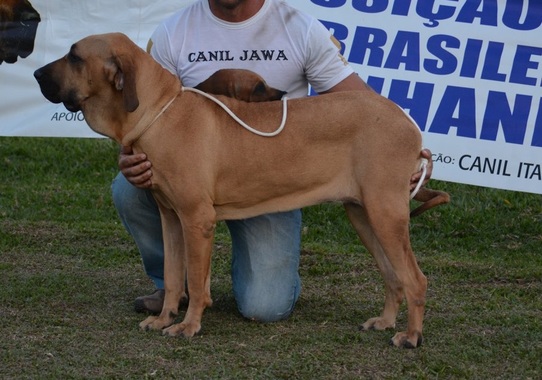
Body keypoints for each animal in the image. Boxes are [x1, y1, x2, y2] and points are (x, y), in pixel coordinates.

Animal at [35, 32, 450, 348]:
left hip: (385, 213)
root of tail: (408, 122)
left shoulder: (196, 220)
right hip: (363, 214)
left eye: (74, 56)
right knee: (393, 276)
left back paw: (411, 336)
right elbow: (173, 276)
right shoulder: (172, 218)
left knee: (415, 279)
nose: (37, 72)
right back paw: (385, 321)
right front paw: (164, 318)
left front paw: (188, 325)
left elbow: (194, 280)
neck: (159, 113)